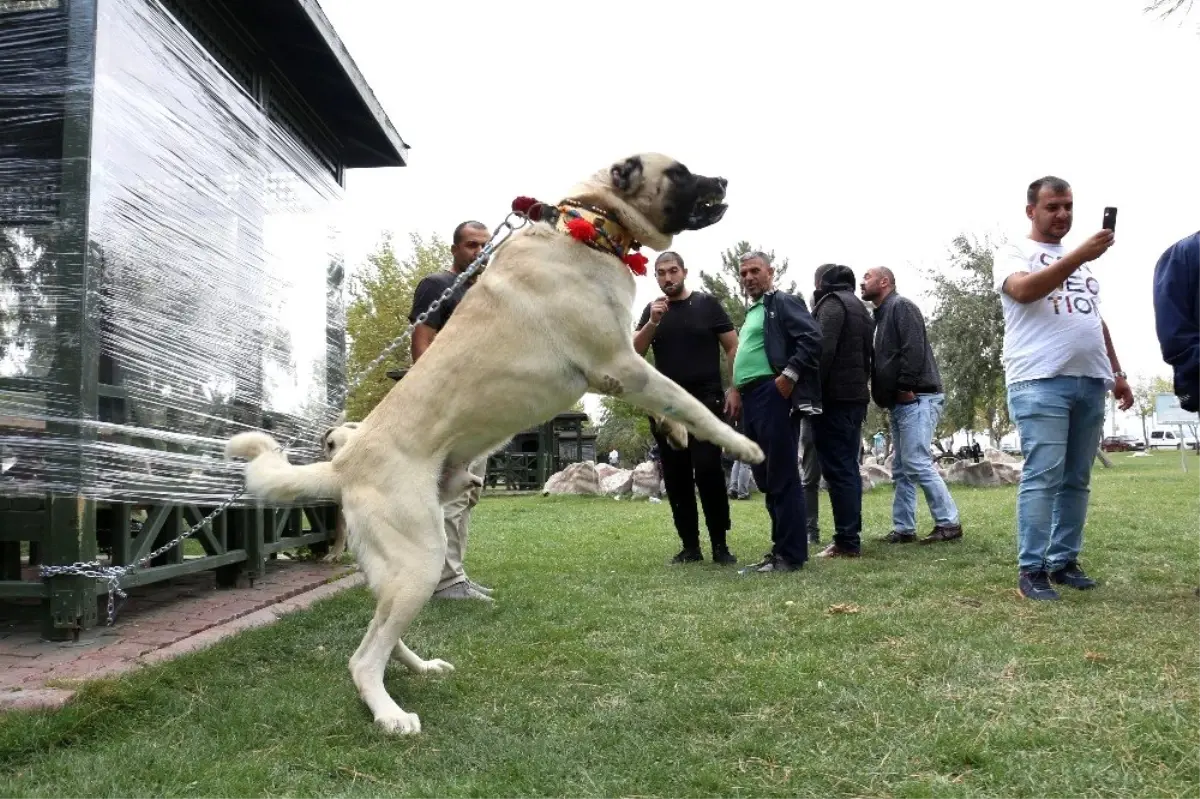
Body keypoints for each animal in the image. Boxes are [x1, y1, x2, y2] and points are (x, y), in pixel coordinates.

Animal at [225, 151, 763, 734]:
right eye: (680, 173)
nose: (724, 179)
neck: (589, 226)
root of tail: (345, 462)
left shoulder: (624, 370)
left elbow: (673, 405)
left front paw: (677, 432)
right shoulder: (620, 363)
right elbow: (690, 400)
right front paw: (742, 444)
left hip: (391, 570)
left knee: (381, 636)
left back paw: (420, 667)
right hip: (419, 558)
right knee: (363, 657)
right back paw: (390, 715)